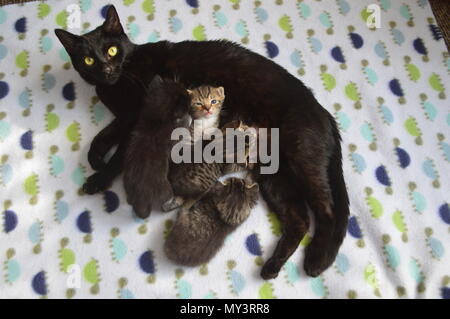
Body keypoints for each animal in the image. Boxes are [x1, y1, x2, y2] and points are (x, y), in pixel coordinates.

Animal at [124, 76, 191, 219]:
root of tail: (140, 200)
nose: (189, 92)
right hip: (165, 189)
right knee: (165, 203)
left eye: (180, 85)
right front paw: (189, 118)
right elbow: (184, 123)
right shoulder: (175, 132)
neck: (157, 117)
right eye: (185, 96)